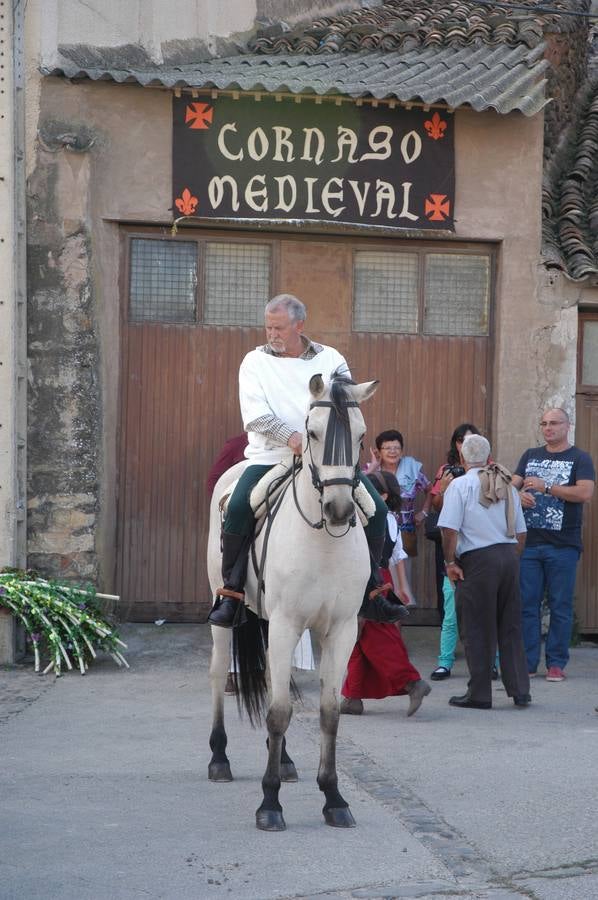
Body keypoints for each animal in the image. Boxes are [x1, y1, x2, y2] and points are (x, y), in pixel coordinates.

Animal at [209, 370, 380, 828]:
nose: (339, 509)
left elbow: (328, 711)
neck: (323, 541)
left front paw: (334, 797)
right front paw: (269, 804)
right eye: (313, 432)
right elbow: (279, 712)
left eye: (360, 435)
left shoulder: (340, 629)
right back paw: (219, 759)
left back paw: (283, 761)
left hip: (272, 623)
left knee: (275, 683)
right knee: (218, 674)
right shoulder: (287, 623)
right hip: (227, 617)